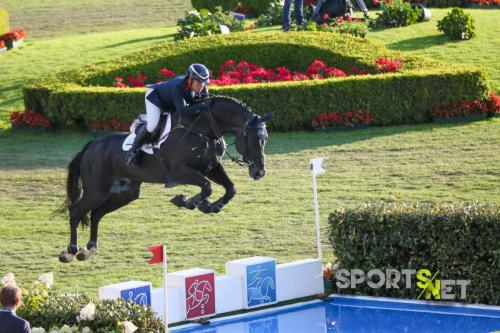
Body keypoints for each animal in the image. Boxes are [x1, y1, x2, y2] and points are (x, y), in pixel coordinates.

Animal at [58, 95, 274, 262]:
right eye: (252, 138)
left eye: (265, 139)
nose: (259, 172)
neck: (202, 129)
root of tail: (91, 146)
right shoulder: (180, 171)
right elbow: (207, 187)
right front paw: (187, 201)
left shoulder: (212, 167)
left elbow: (230, 188)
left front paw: (211, 206)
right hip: (97, 191)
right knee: (76, 210)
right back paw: (70, 251)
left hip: (124, 194)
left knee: (96, 214)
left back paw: (90, 249)